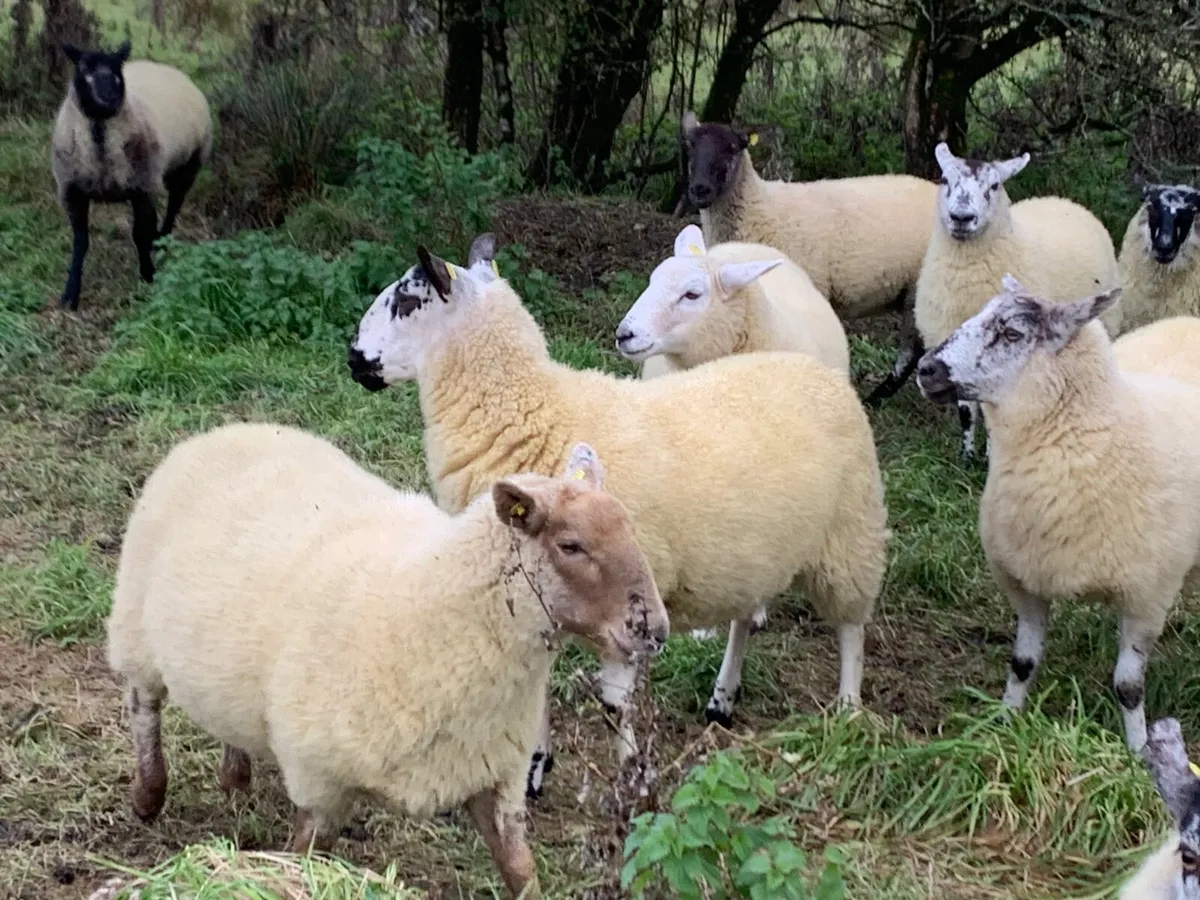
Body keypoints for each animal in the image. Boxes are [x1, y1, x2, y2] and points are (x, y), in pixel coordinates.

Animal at [51, 40, 213, 311]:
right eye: (84, 68)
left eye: (118, 70)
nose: (111, 99)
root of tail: (159, 65)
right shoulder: (72, 192)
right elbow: (80, 241)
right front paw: (70, 293)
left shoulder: (140, 189)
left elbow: (138, 234)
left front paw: (148, 274)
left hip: (186, 165)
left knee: (174, 205)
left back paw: (162, 241)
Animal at [105, 421, 667, 900]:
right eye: (571, 545)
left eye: (630, 529)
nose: (655, 630)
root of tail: (225, 430)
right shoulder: (318, 782)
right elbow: (304, 861)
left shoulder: (496, 776)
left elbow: (520, 871)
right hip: (135, 630)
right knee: (142, 705)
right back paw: (147, 795)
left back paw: (236, 782)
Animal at [915, 274, 1200, 752]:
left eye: (1013, 333)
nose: (925, 369)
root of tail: (1188, 322)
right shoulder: (1024, 579)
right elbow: (1022, 663)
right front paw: (1004, 722)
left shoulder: (1148, 596)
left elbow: (1128, 687)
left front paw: (1138, 752)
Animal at [916, 142, 1123, 463]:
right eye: (944, 179)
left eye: (994, 186)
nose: (961, 217)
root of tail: (1060, 200)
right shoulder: (951, 341)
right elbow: (966, 410)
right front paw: (966, 456)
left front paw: (990, 455)